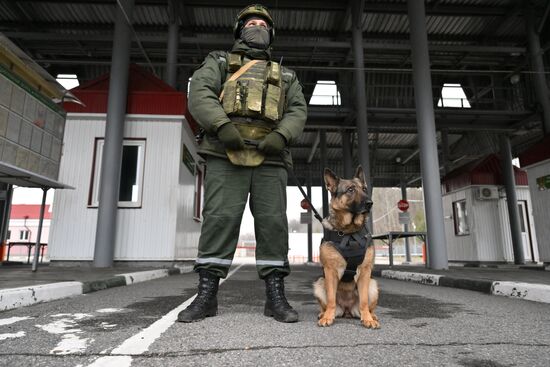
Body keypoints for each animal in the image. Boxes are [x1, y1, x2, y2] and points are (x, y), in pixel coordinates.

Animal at [314, 167, 380, 328]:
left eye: (364, 189)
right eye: (350, 190)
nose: (370, 203)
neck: (349, 233)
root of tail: (347, 310)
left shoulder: (365, 272)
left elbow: (364, 301)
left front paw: (368, 319)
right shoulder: (330, 271)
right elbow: (331, 299)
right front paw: (327, 317)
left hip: (373, 285)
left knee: (368, 306)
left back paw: (372, 316)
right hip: (319, 283)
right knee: (327, 304)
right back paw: (323, 313)